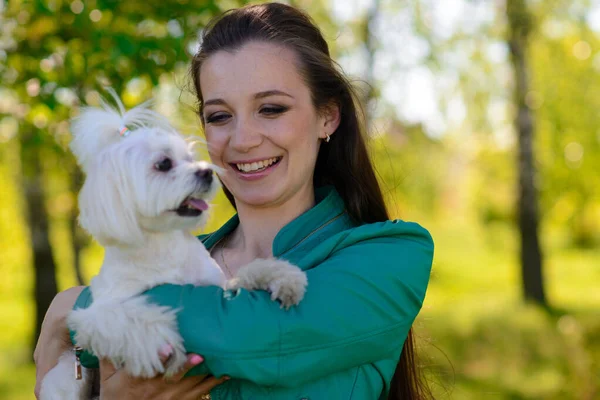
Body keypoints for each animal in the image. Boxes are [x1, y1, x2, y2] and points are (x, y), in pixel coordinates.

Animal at [41, 91, 310, 400]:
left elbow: (242, 277)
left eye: (190, 159)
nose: (206, 172)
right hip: (66, 379)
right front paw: (158, 341)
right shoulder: (95, 313)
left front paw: (281, 277)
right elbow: (127, 316)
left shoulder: (215, 286)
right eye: (163, 164)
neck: (163, 243)